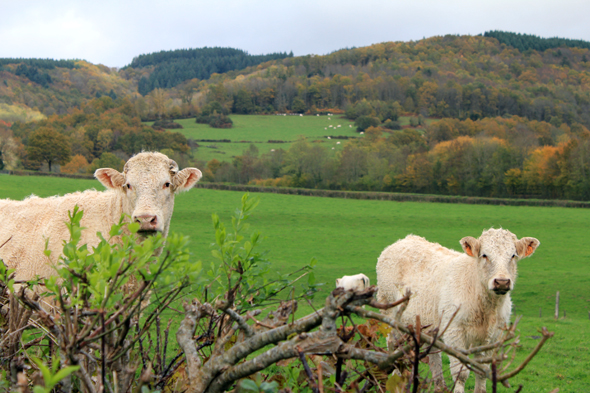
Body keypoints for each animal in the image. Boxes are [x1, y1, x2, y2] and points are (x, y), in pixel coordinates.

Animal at [380, 228, 540, 392]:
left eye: (513, 255)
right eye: (484, 255)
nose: (502, 282)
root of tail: (406, 239)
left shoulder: (493, 337)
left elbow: (482, 371)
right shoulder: (454, 333)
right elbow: (460, 373)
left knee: (433, 357)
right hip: (390, 316)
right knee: (393, 347)